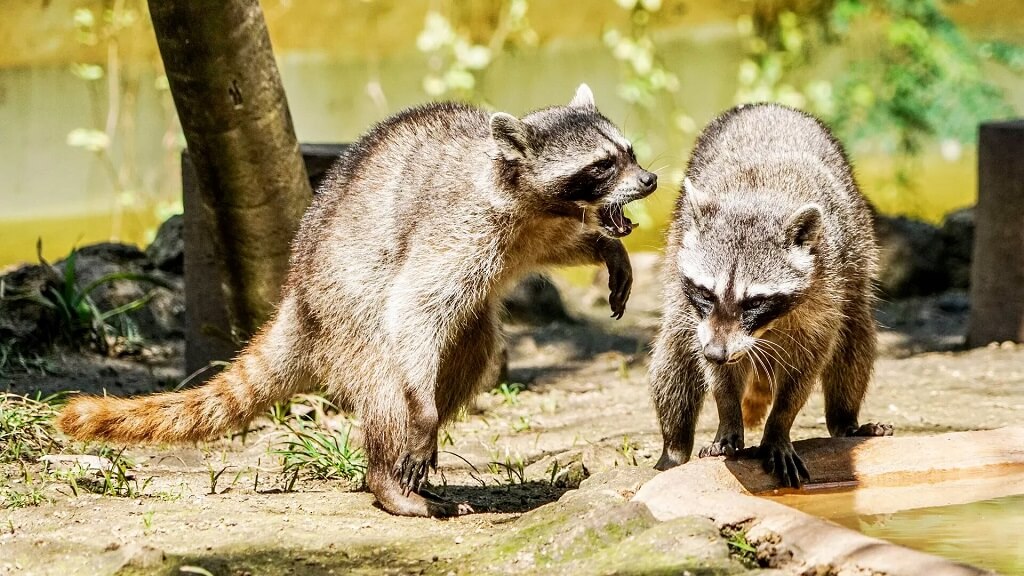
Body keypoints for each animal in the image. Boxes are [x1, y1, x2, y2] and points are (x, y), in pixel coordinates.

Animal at [59, 84, 659, 516]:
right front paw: (419, 421)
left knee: (471, 350)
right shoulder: (459, 226)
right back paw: (388, 472)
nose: (651, 179)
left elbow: (561, 246)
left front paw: (605, 246)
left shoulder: (534, 227)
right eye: (602, 166)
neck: (527, 193)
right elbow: (416, 305)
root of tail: (297, 298)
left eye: (628, 153)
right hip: (347, 309)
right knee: (393, 375)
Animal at [651, 103, 892, 483]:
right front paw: (728, 415)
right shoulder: (699, 310)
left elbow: (807, 365)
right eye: (707, 293)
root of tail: (769, 106)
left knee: (855, 336)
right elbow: (713, 370)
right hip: (678, 249)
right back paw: (674, 447)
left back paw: (845, 421)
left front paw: (780, 425)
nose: (717, 353)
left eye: (754, 302)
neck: (758, 197)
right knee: (674, 353)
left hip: (857, 251)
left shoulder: (826, 286)